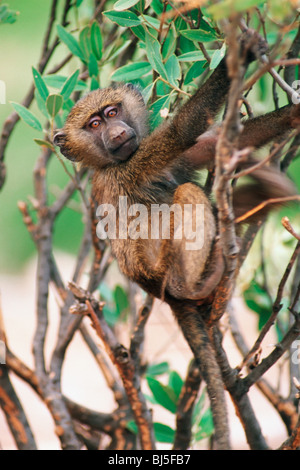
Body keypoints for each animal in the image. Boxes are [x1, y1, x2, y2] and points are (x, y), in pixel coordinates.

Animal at [54, 31, 300, 450]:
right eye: (93, 123)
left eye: (113, 113)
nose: (117, 133)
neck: (109, 163)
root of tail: (162, 293)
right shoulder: (135, 164)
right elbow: (183, 131)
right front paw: (241, 52)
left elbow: (218, 141)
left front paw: (293, 114)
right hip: (169, 266)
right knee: (188, 193)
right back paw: (203, 276)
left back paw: (268, 192)